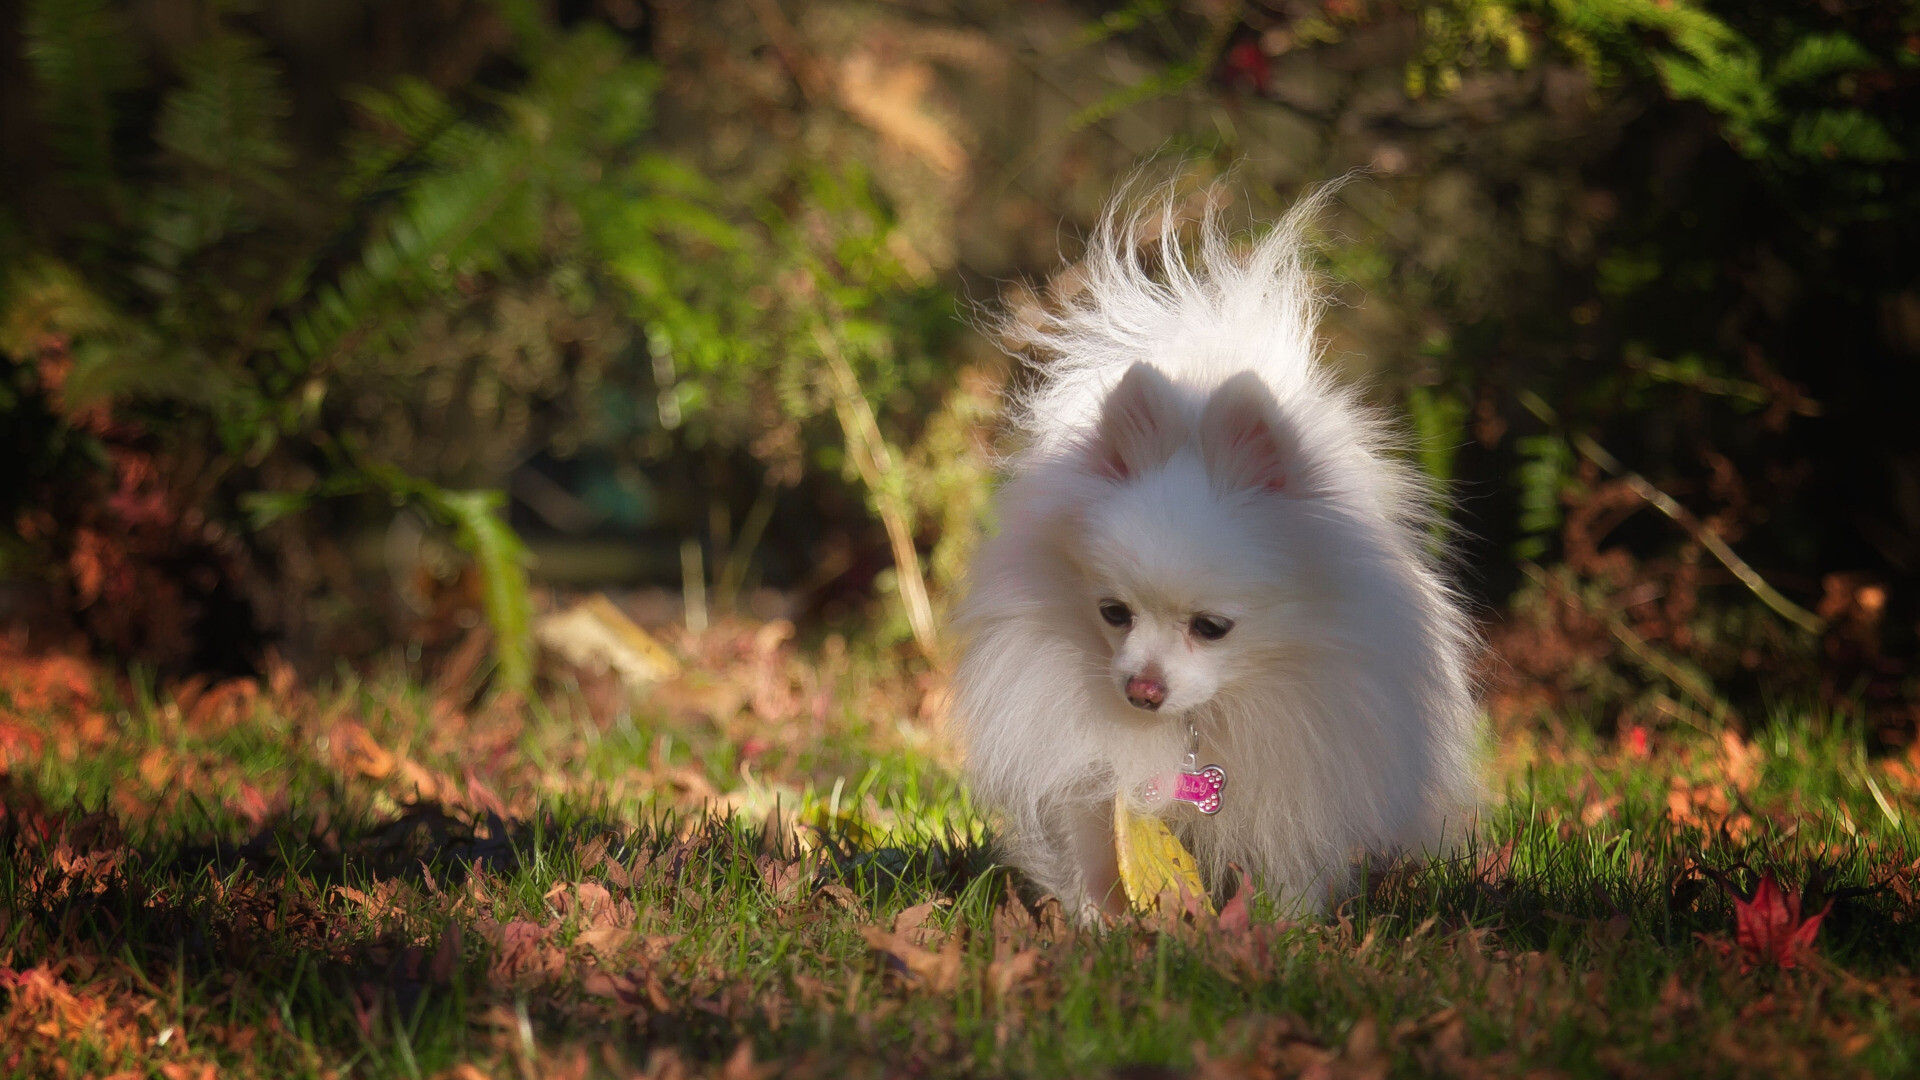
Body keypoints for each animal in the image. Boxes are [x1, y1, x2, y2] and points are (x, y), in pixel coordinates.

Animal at [952, 182, 1474, 914]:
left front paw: (1282, 930)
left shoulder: (1301, 786)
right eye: (1113, 614)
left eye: (1213, 628)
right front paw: (1094, 925)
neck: (1202, 719)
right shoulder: (1087, 776)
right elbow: (1094, 854)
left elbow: (1291, 869)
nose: (1141, 689)